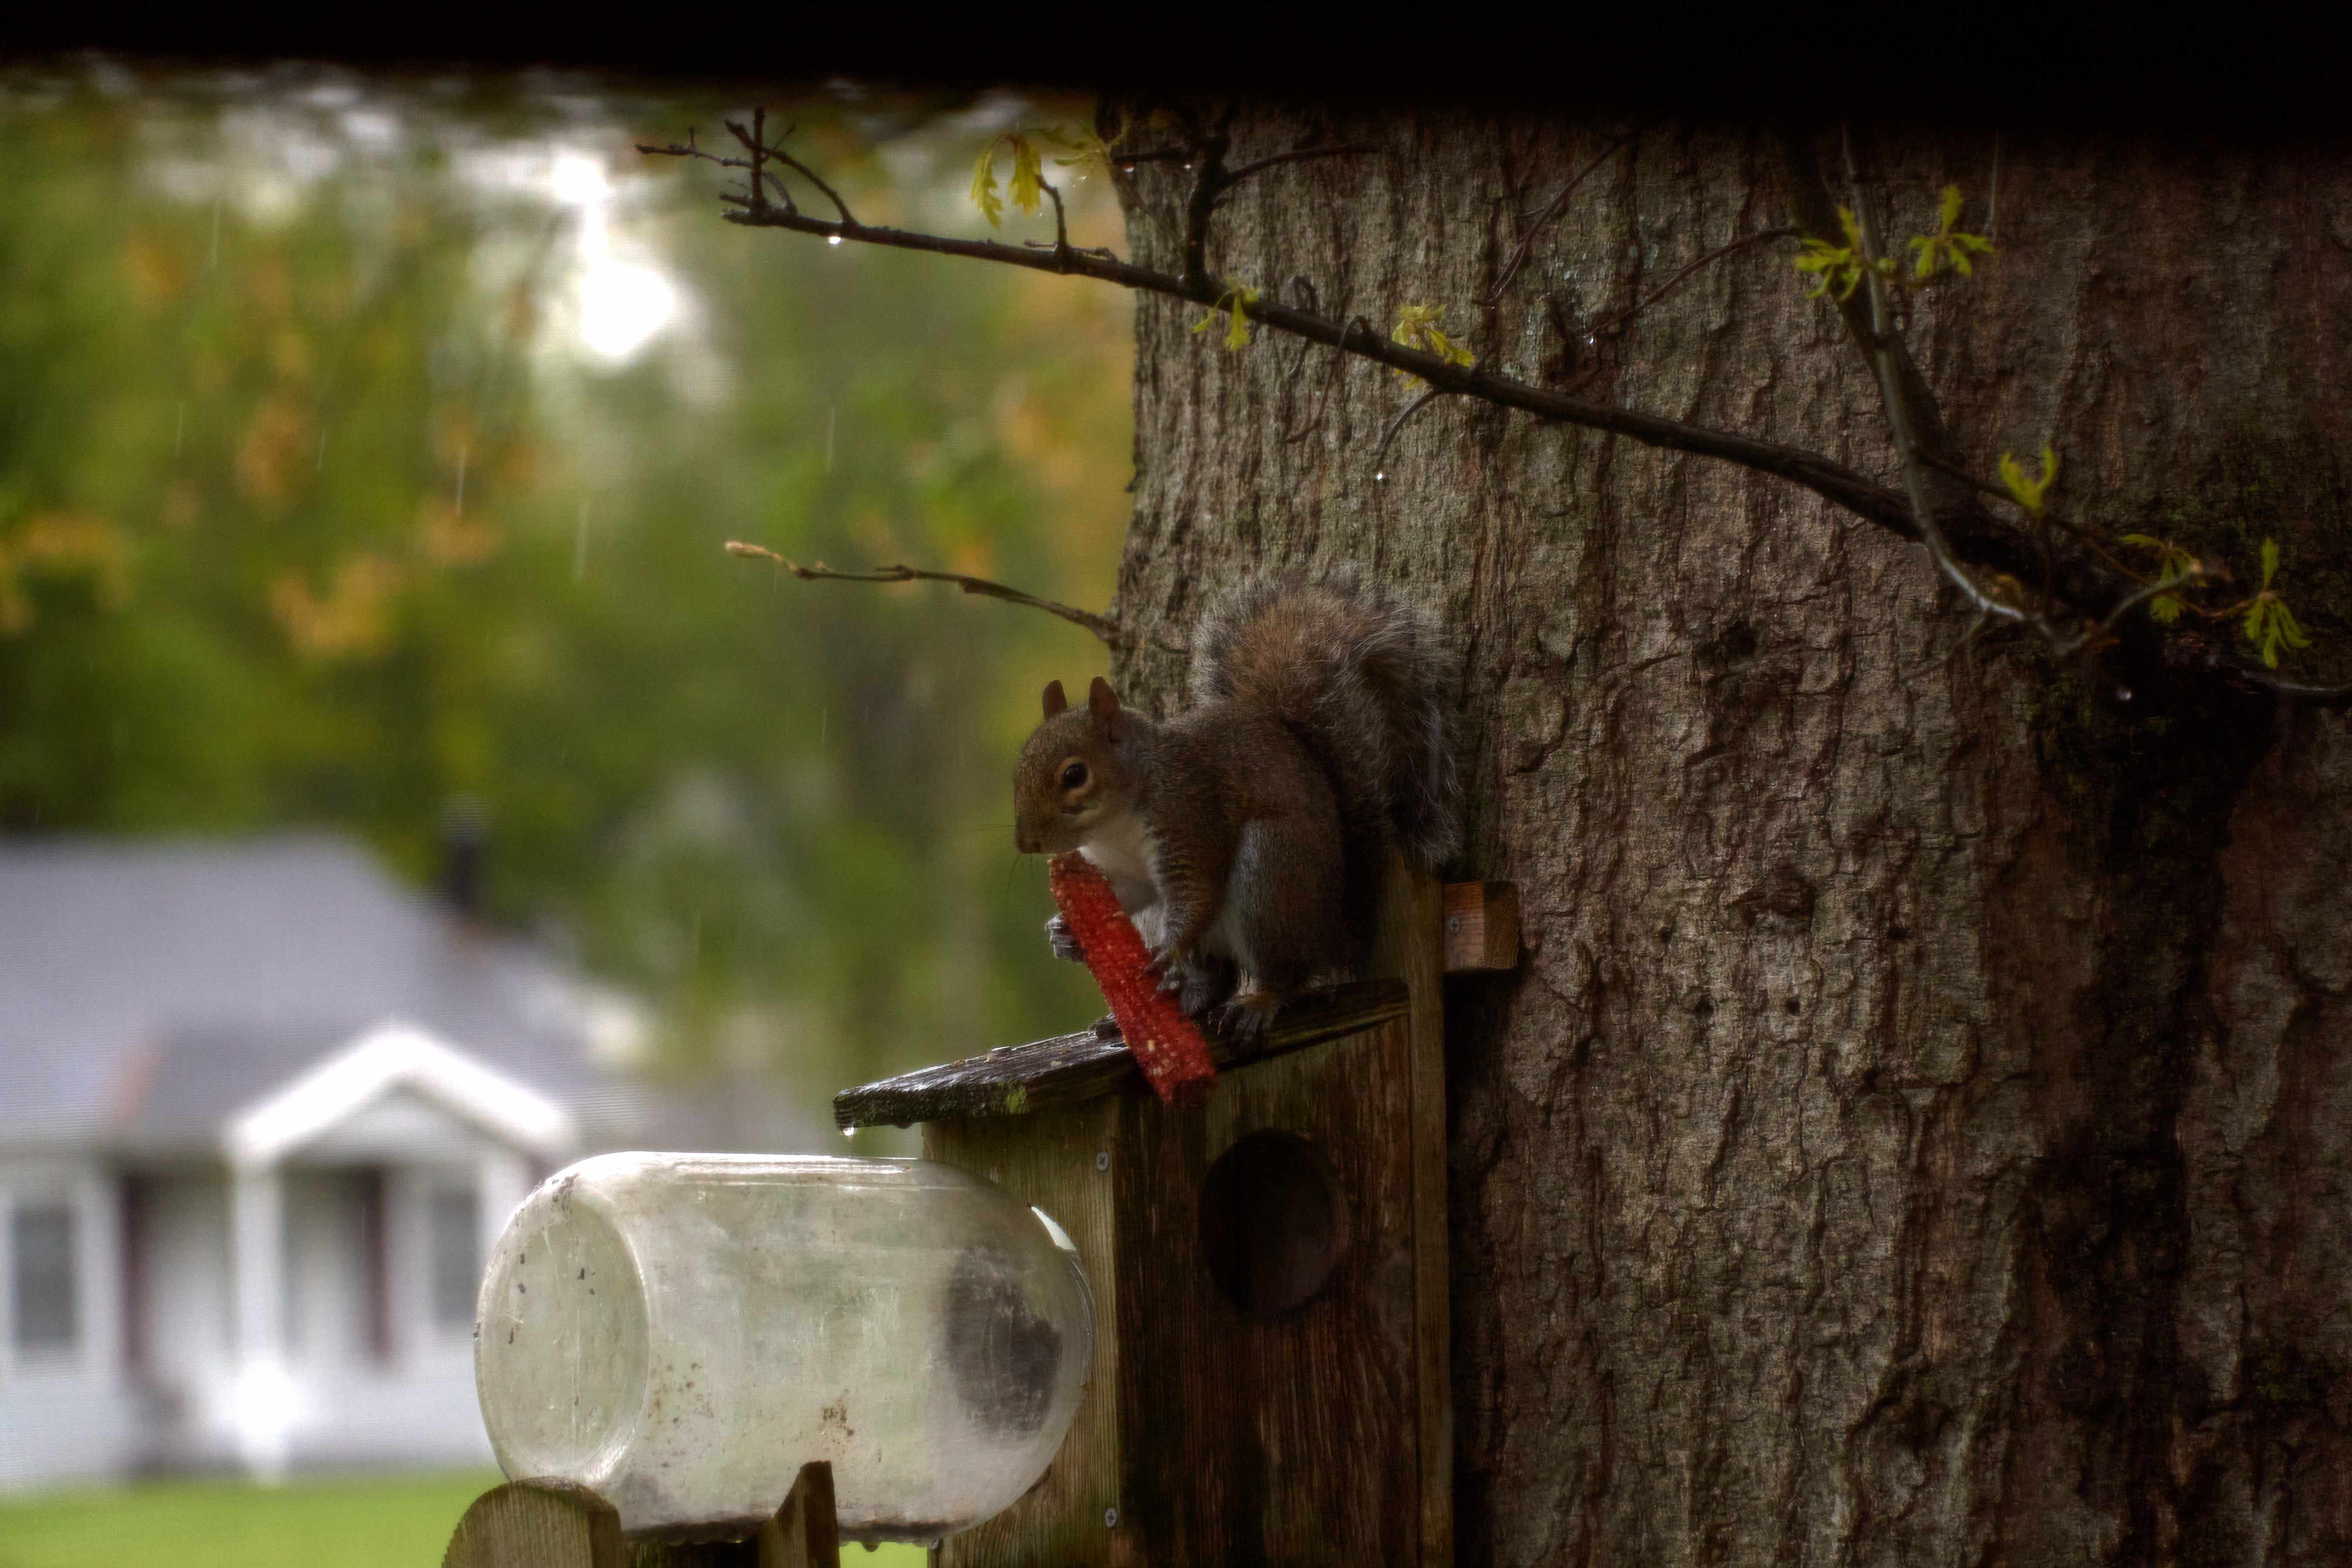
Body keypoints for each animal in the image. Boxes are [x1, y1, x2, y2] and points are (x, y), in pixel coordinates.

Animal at [1013, 572, 1459, 1042]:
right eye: (1020, 765)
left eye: (1074, 775)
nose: (1026, 843)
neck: (1114, 826)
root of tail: (1335, 934)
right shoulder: (1125, 871)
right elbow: (1129, 895)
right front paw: (1064, 934)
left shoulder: (1189, 819)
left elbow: (1198, 895)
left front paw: (1166, 951)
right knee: (1217, 978)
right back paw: (1172, 1004)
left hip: (1271, 875)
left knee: (1284, 975)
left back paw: (1257, 1002)